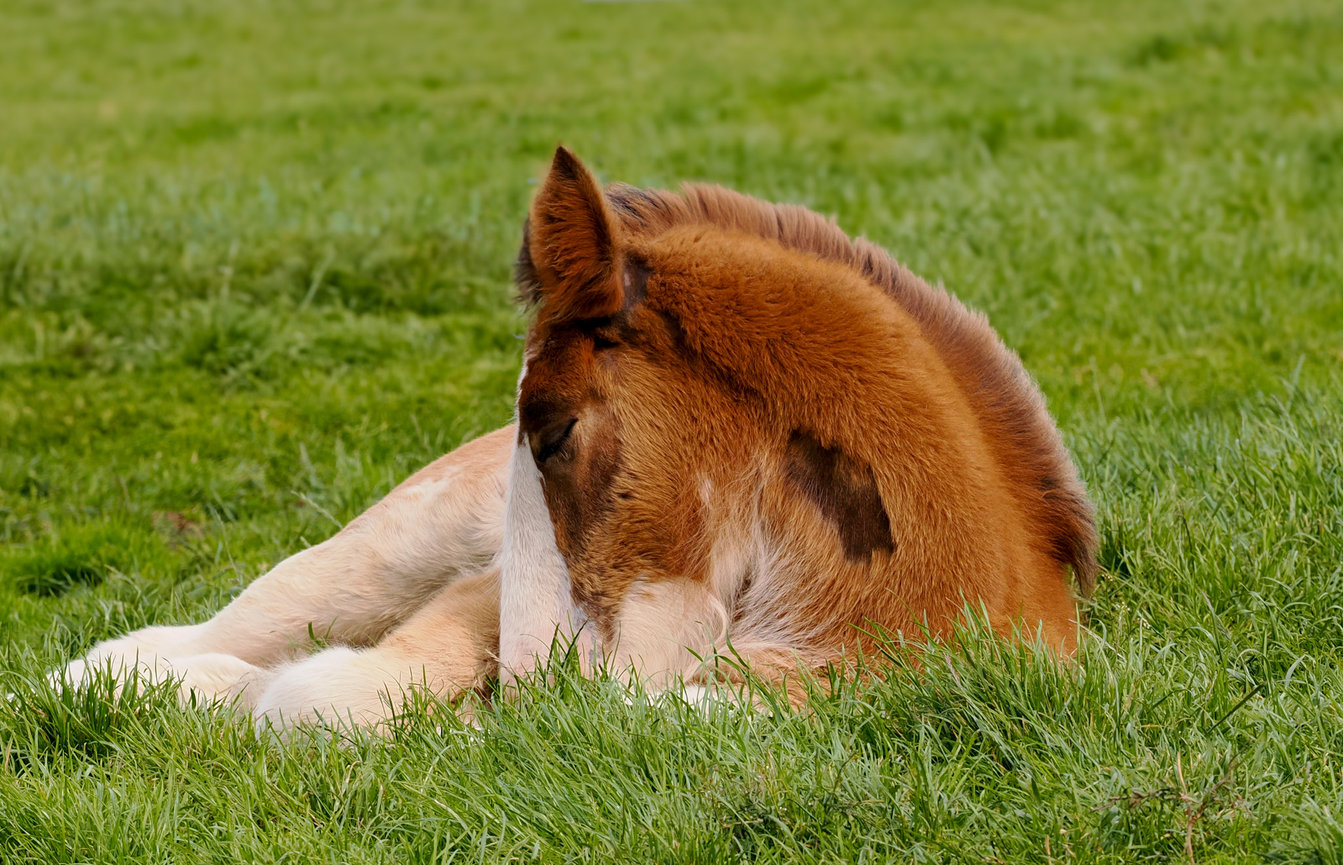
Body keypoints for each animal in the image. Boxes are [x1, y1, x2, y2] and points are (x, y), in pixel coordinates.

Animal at [55, 148, 1098, 728]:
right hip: (387, 548)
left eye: (554, 433)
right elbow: (329, 692)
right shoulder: (484, 596)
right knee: (200, 629)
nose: (526, 691)